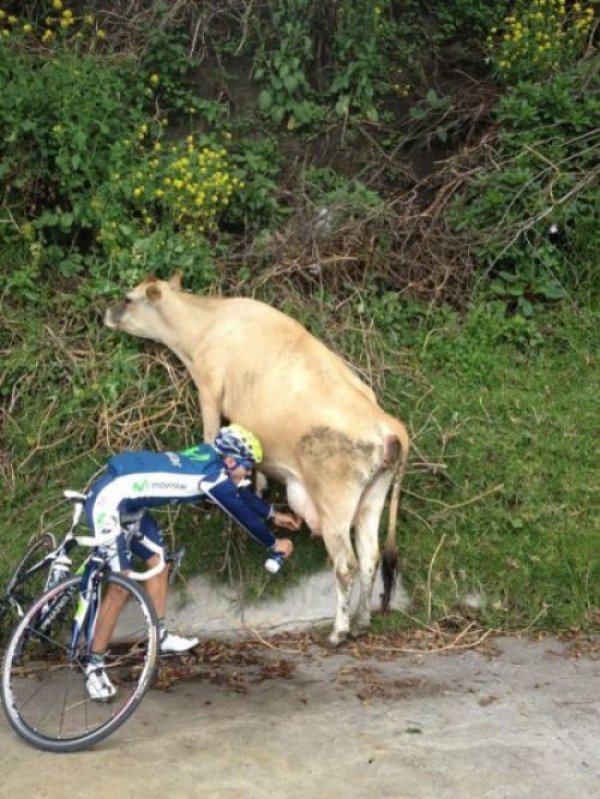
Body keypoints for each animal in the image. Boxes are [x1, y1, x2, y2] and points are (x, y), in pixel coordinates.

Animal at [105, 272, 410, 648]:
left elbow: (210, 433)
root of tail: (388, 424)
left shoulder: (209, 389)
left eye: (128, 298)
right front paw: (259, 488)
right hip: (372, 500)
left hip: (335, 506)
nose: (106, 312)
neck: (206, 323)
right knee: (370, 558)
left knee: (346, 564)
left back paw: (339, 631)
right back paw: (362, 622)